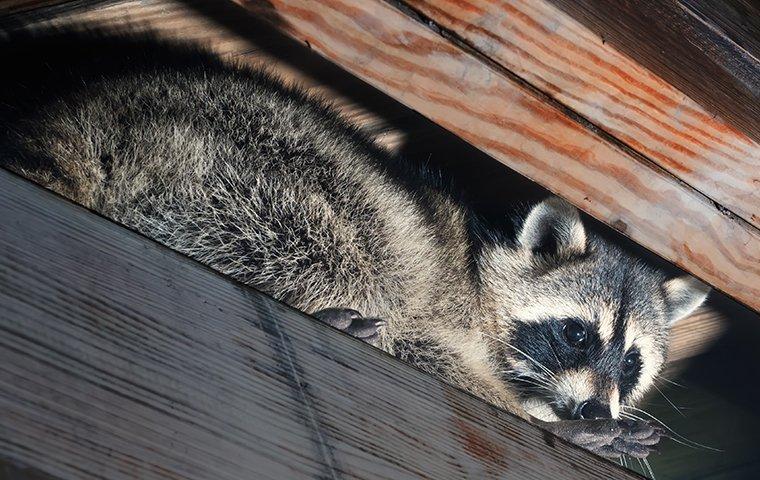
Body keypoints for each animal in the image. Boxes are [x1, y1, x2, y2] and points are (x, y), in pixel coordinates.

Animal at [0, 31, 708, 460]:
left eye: (631, 364)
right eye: (576, 334)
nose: (592, 405)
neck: (481, 272)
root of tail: (90, 112)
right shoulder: (440, 304)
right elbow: (424, 346)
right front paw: (556, 424)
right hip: (242, 167)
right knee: (337, 248)